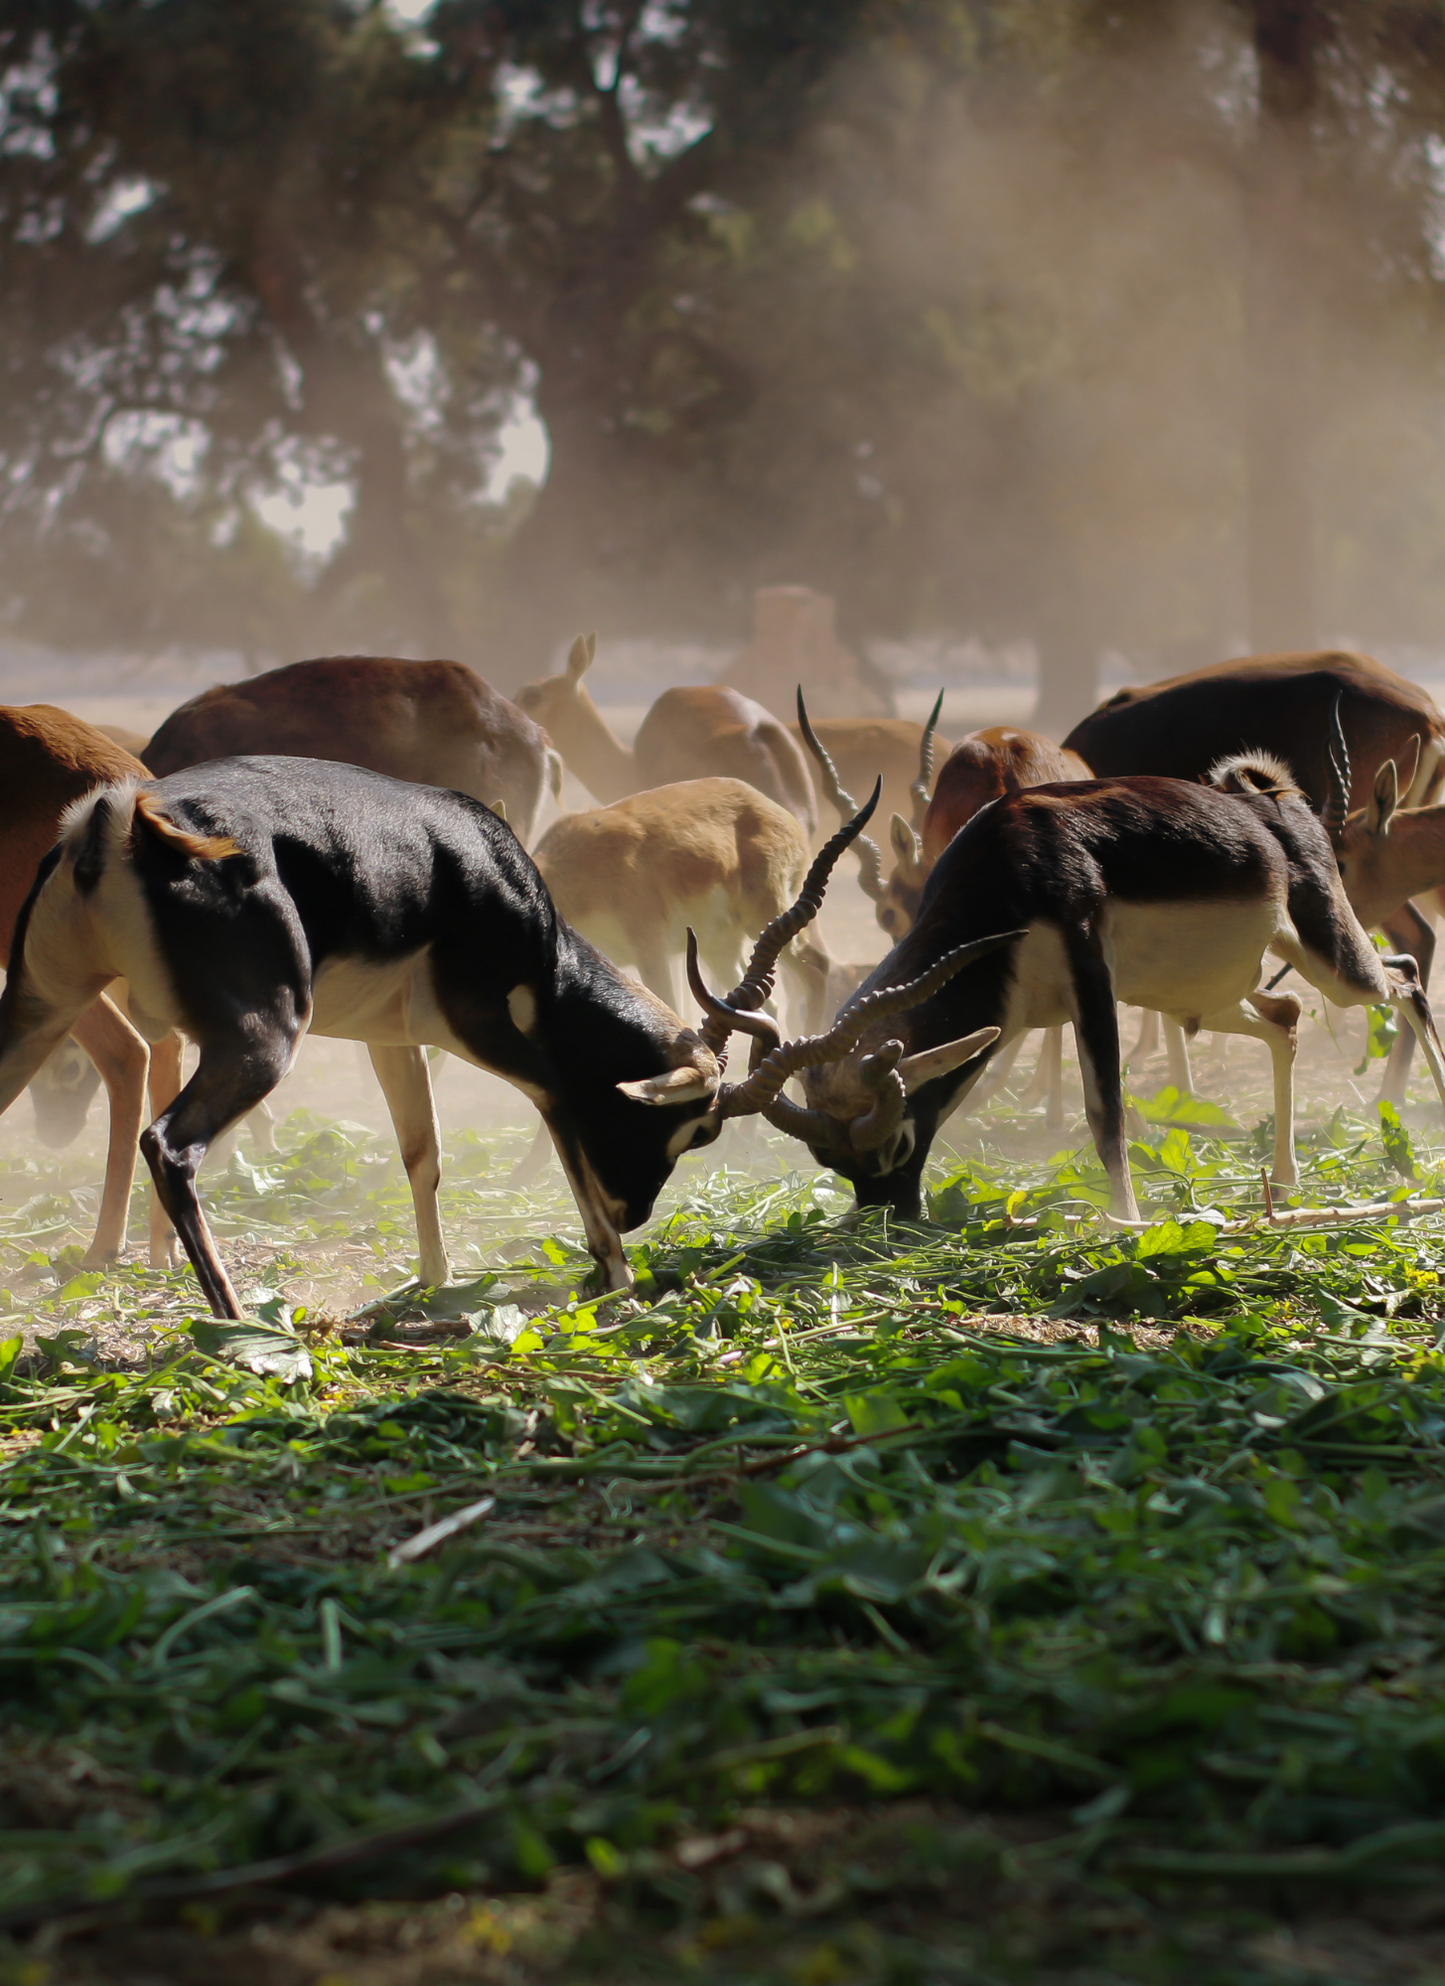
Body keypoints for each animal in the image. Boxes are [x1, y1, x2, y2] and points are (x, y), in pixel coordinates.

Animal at [0, 756, 880, 1316]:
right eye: (696, 1128)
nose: (635, 1214)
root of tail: (120, 824)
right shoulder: (494, 1032)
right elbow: (559, 1112)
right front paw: (616, 1275)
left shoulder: (388, 1040)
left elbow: (422, 1153)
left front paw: (433, 1278)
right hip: (261, 1040)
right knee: (169, 1145)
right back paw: (237, 1323)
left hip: (39, 1012)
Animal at [739, 756, 1445, 1224]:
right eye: (833, 1166)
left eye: (898, 1146)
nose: (894, 1220)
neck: (1009, 871)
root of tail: (1268, 799)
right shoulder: (1021, 1012)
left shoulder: (1089, 979)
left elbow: (1105, 1112)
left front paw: (1126, 1224)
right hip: (1203, 997)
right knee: (1288, 1016)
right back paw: (1288, 1183)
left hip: (1337, 964)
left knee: (1406, 977)